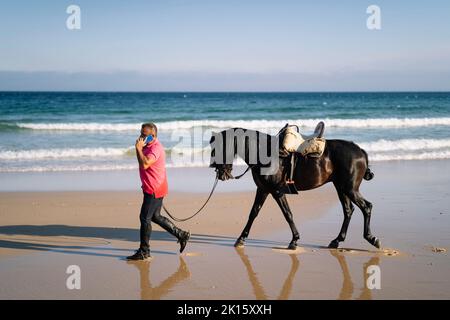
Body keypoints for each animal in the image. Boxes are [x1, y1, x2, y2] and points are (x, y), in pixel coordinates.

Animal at [208, 127, 380, 250]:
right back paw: (337, 240)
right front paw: (241, 238)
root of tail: (360, 151)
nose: (220, 173)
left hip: (349, 188)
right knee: (348, 210)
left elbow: (287, 214)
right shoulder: (263, 190)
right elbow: (253, 213)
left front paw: (294, 240)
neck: (265, 154)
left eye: (216, 149)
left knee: (366, 207)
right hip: (340, 187)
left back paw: (371, 238)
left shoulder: (276, 191)